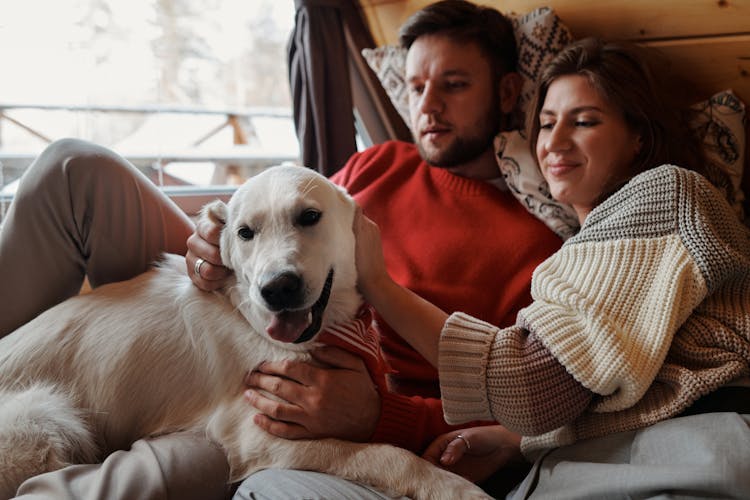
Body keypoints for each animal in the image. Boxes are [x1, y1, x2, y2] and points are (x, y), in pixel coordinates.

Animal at [0, 167, 490, 500]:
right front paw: (456, 487)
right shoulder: (265, 433)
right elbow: (390, 453)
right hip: (45, 421)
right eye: (244, 232)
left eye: (309, 216)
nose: (277, 289)